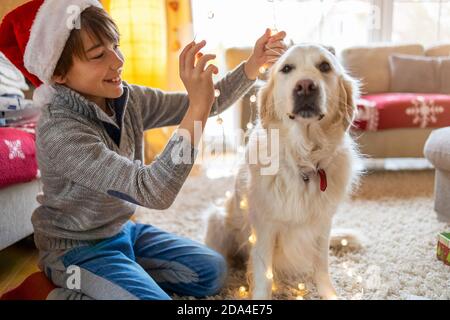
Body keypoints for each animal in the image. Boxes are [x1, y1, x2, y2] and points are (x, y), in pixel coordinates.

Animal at [206, 44, 364, 300]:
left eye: (325, 66)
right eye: (287, 68)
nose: (306, 86)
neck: (304, 161)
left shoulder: (323, 223)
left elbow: (322, 265)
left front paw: (328, 293)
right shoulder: (264, 227)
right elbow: (264, 276)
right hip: (216, 220)